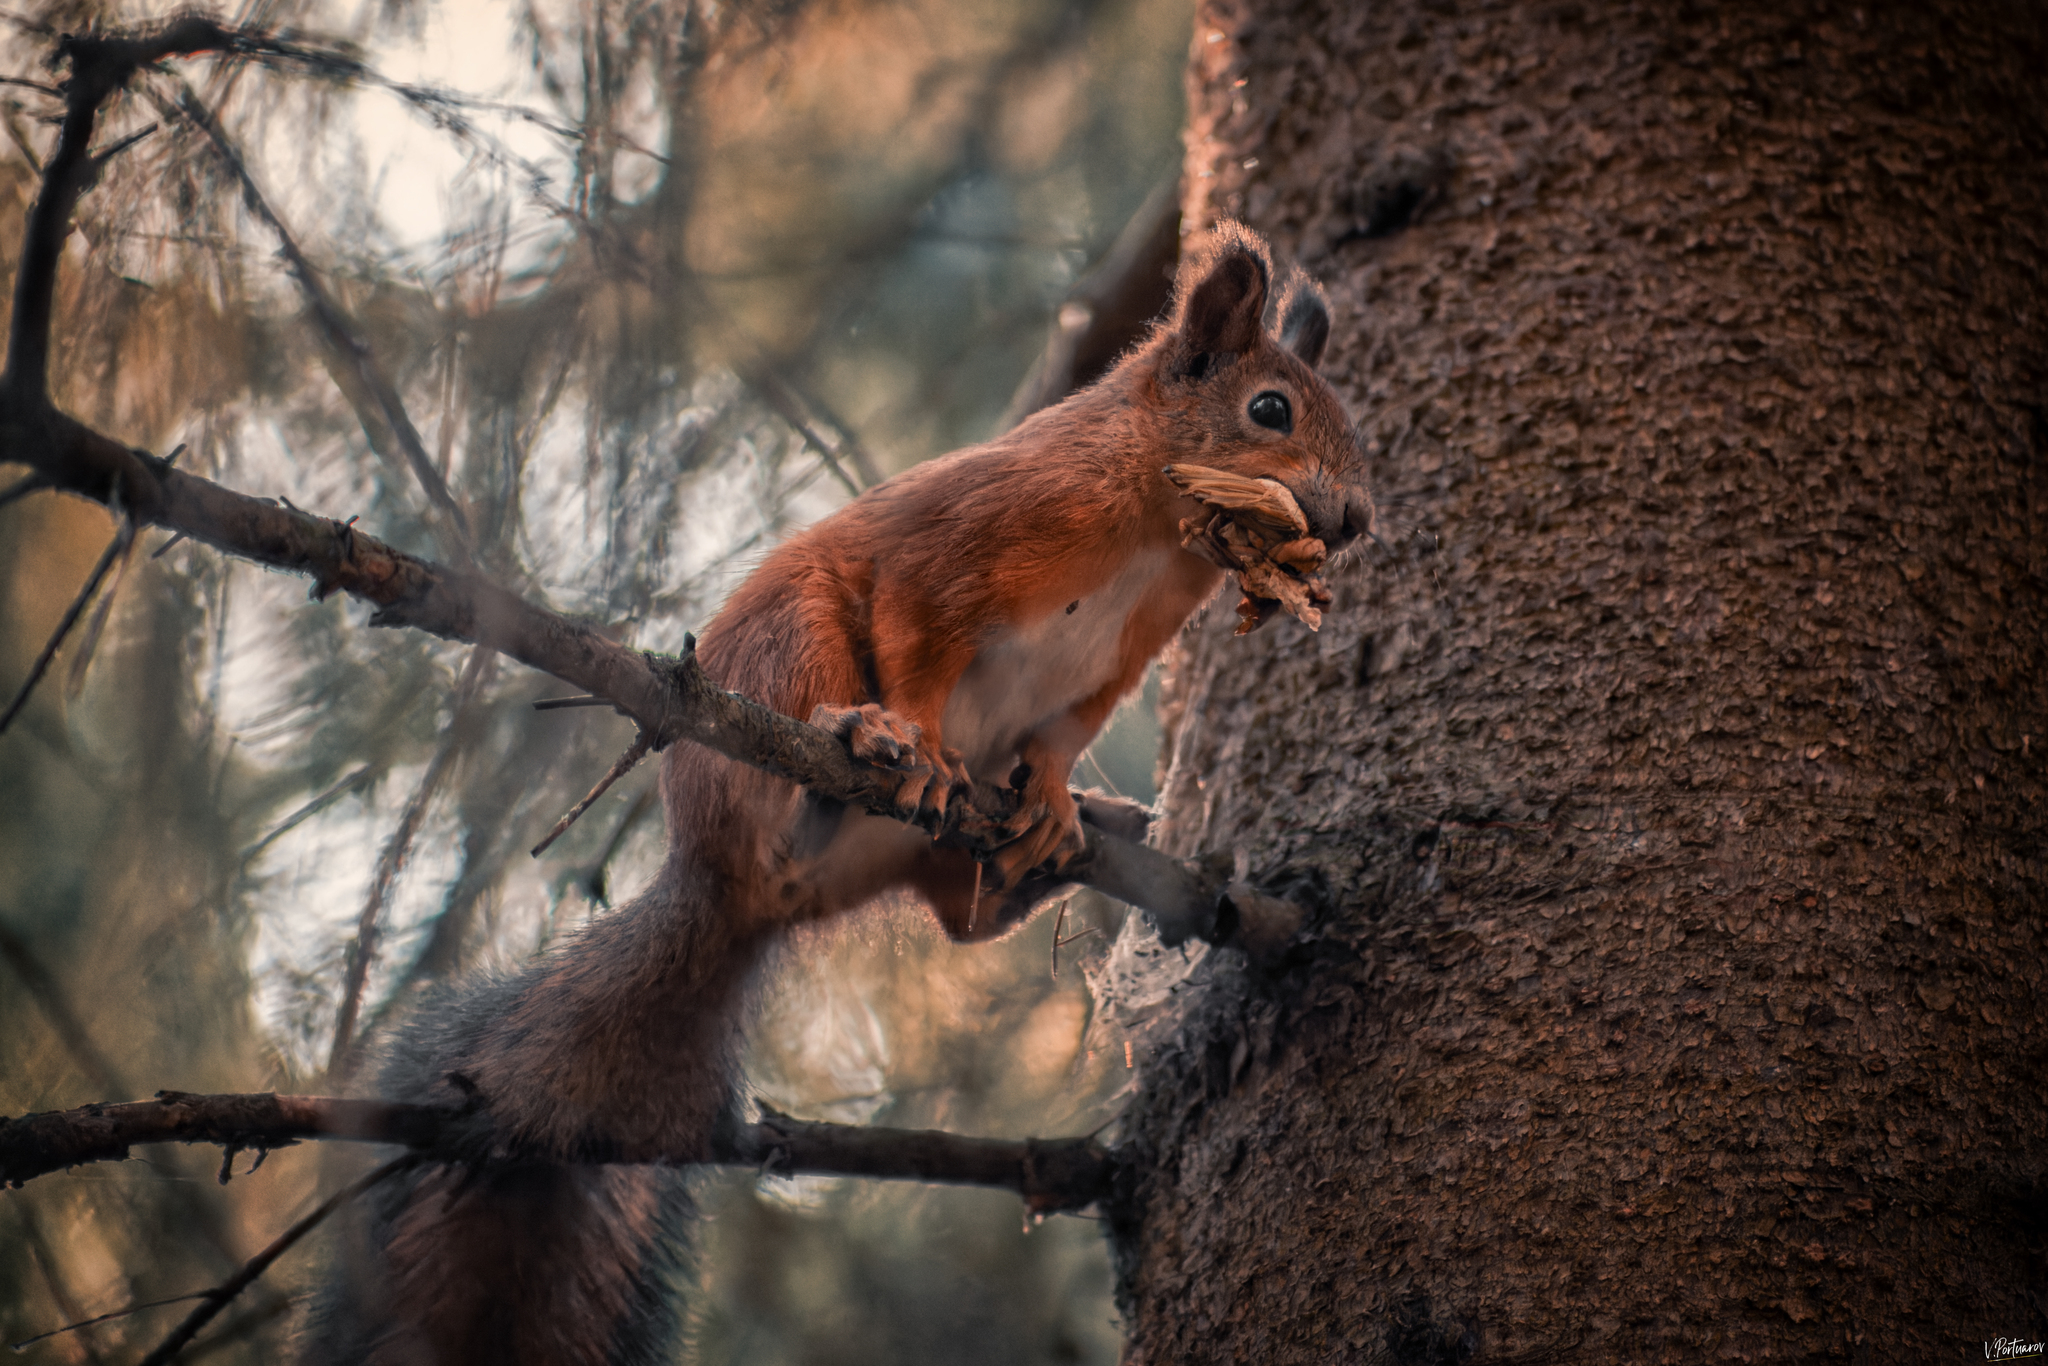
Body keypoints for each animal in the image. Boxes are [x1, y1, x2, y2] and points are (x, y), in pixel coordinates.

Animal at [307, 224, 1376, 1366]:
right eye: (1270, 409)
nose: (1357, 518)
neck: (1149, 525)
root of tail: (718, 888)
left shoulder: (1109, 668)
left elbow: (1056, 740)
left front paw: (1054, 797)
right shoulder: (950, 551)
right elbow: (915, 640)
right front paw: (919, 738)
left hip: (910, 850)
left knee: (957, 919)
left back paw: (1050, 853)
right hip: (794, 649)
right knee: (806, 766)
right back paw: (858, 748)